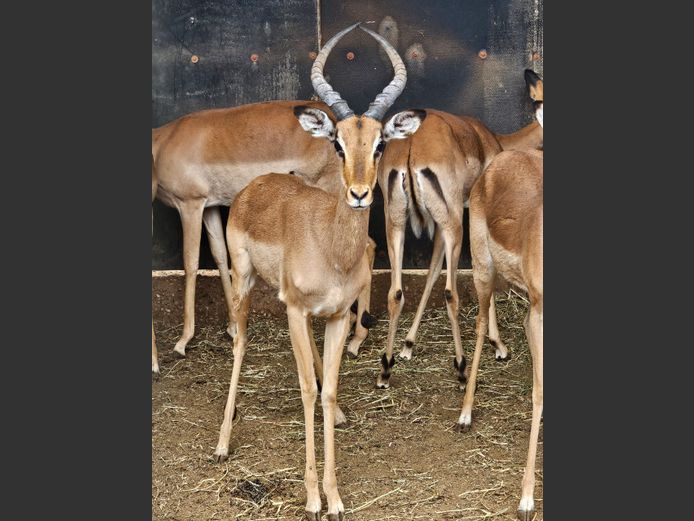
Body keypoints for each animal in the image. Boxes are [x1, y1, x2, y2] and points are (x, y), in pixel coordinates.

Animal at [151, 84, 380, 375]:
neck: (165, 141)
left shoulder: (190, 205)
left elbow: (190, 263)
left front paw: (182, 341)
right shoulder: (211, 207)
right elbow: (220, 255)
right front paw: (232, 325)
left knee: (369, 244)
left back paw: (357, 338)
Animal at [212, 23, 423, 520]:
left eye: (380, 144)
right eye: (338, 143)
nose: (360, 194)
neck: (331, 246)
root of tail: (257, 185)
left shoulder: (335, 316)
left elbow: (326, 391)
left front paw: (336, 496)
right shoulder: (294, 311)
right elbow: (308, 388)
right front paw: (311, 497)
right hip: (244, 285)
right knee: (240, 342)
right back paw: (223, 444)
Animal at [376, 71, 543, 389]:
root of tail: (411, 147)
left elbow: (430, 272)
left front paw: (408, 345)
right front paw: (499, 346)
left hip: (397, 223)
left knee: (395, 291)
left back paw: (385, 370)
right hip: (453, 224)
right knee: (451, 292)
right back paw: (462, 369)